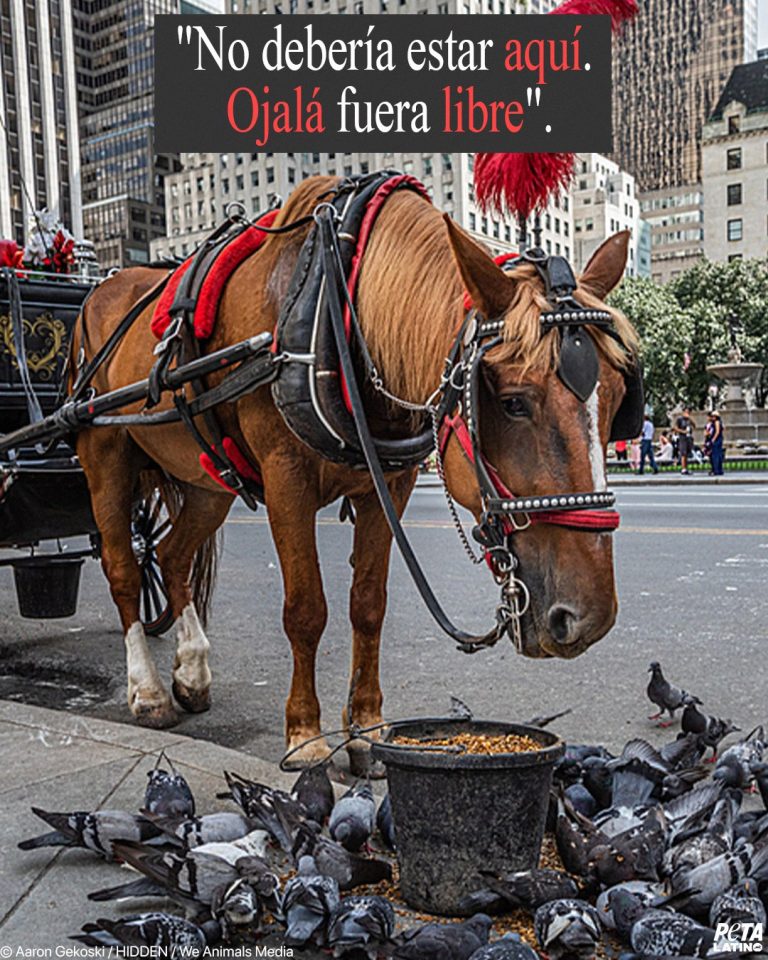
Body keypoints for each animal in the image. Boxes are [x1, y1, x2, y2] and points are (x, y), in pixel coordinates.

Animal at [71, 173, 637, 771]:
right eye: (511, 402)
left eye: (618, 398)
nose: (589, 617)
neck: (340, 309)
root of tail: (102, 288)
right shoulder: (286, 481)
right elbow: (305, 610)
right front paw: (305, 735)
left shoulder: (388, 486)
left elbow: (368, 604)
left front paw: (365, 727)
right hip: (104, 454)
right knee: (124, 570)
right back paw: (149, 690)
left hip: (208, 482)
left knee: (173, 555)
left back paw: (193, 671)